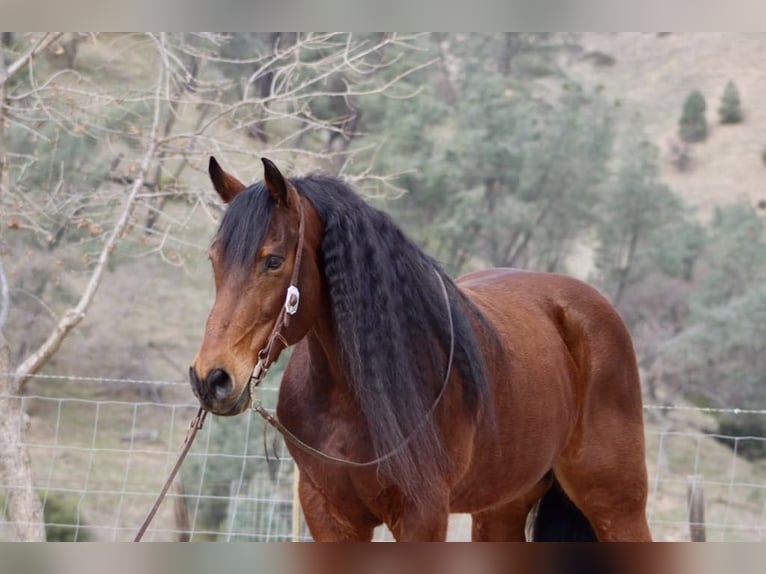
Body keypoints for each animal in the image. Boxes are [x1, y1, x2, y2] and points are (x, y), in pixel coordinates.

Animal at [189, 156, 652, 542]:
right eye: (213, 259)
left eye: (273, 260)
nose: (211, 378)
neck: (352, 398)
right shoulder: (328, 514)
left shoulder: (421, 516)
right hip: (501, 508)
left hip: (617, 506)